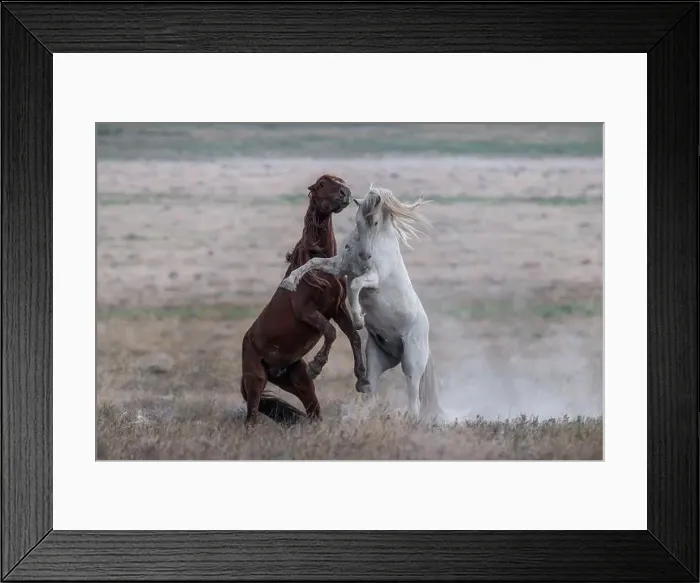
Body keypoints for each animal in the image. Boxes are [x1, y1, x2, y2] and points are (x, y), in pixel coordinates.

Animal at [240, 174, 371, 427]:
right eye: (321, 185)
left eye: (340, 181)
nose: (345, 193)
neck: (320, 267)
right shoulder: (307, 311)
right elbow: (330, 332)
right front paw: (317, 365)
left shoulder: (338, 309)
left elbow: (354, 337)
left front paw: (362, 380)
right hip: (256, 379)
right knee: (251, 415)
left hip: (300, 384)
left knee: (313, 412)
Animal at [279, 185, 445, 422]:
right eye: (357, 220)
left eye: (375, 222)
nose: (365, 255)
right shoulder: (340, 266)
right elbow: (314, 262)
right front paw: (290, 281)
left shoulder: (373, 277)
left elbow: (356, 285)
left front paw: (358, 319)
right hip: (376, 361)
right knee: (372, 395)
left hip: (412, 363)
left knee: (414, 402)